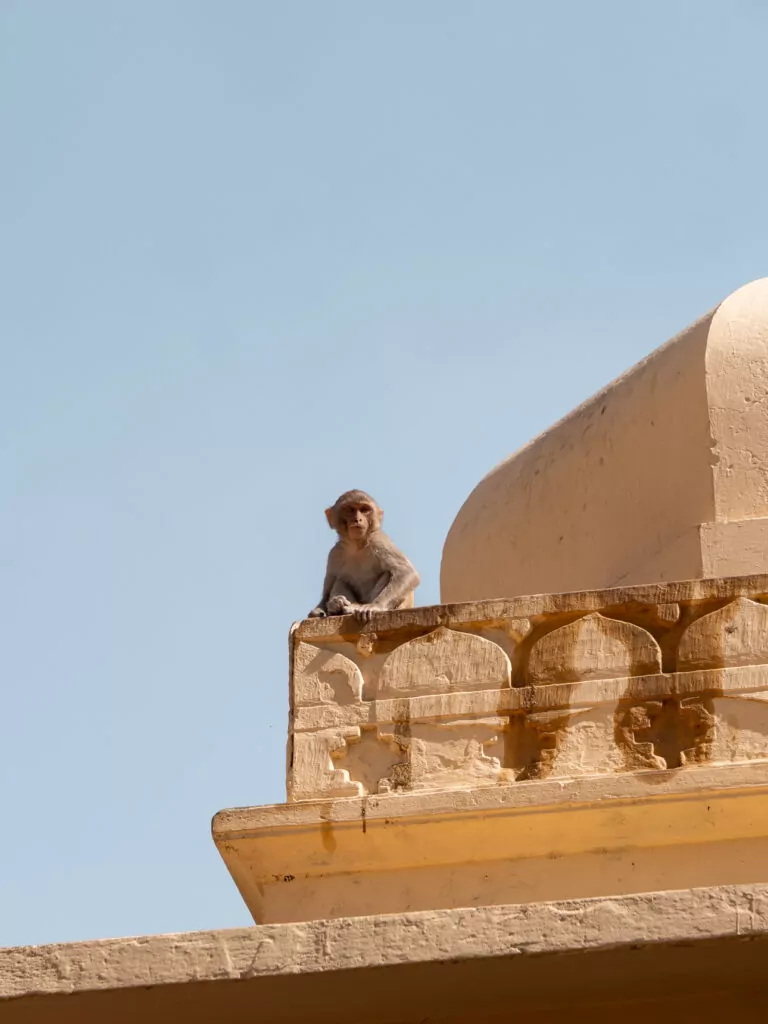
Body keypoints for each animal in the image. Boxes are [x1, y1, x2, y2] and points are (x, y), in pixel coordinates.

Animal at [307, 490, 420, 622]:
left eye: (365, 510)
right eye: (350, 509)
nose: (358, 519)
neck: (357, 545)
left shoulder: (379, 541)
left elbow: (407, 572)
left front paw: (375, 606)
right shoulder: (334, 554)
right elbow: (326, 592)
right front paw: (322, 608)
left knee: (389, 573)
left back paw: (353, 608)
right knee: (339, 580)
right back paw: (339, 606)